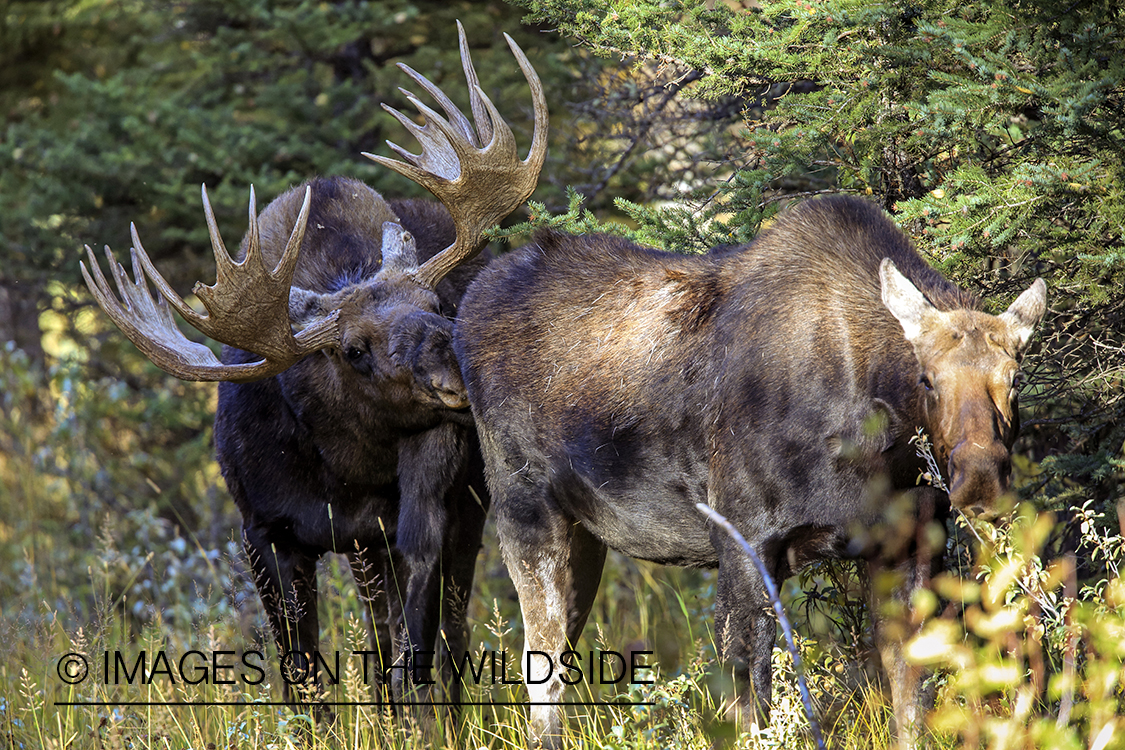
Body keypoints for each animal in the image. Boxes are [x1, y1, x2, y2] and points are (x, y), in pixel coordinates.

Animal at [80, 22, 546, 710]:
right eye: (352, 350)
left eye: (438, 304)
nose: (457, 373)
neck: (343, 467)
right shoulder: (266, 533)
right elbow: (304, 679)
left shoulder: (417, 519)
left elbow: (414, 657)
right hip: (361, 546)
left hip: (462, 506)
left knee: (449, 638)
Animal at [451, 196, 1046, 748]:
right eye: (926, 379)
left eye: (1016, 379)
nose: (980, 478)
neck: (876, 447)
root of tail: (468, 303)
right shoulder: (744, 536)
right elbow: (747, 690)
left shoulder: (910, 542)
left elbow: (911, 696)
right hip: (524, 508)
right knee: (538, 659)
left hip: (585, 534)